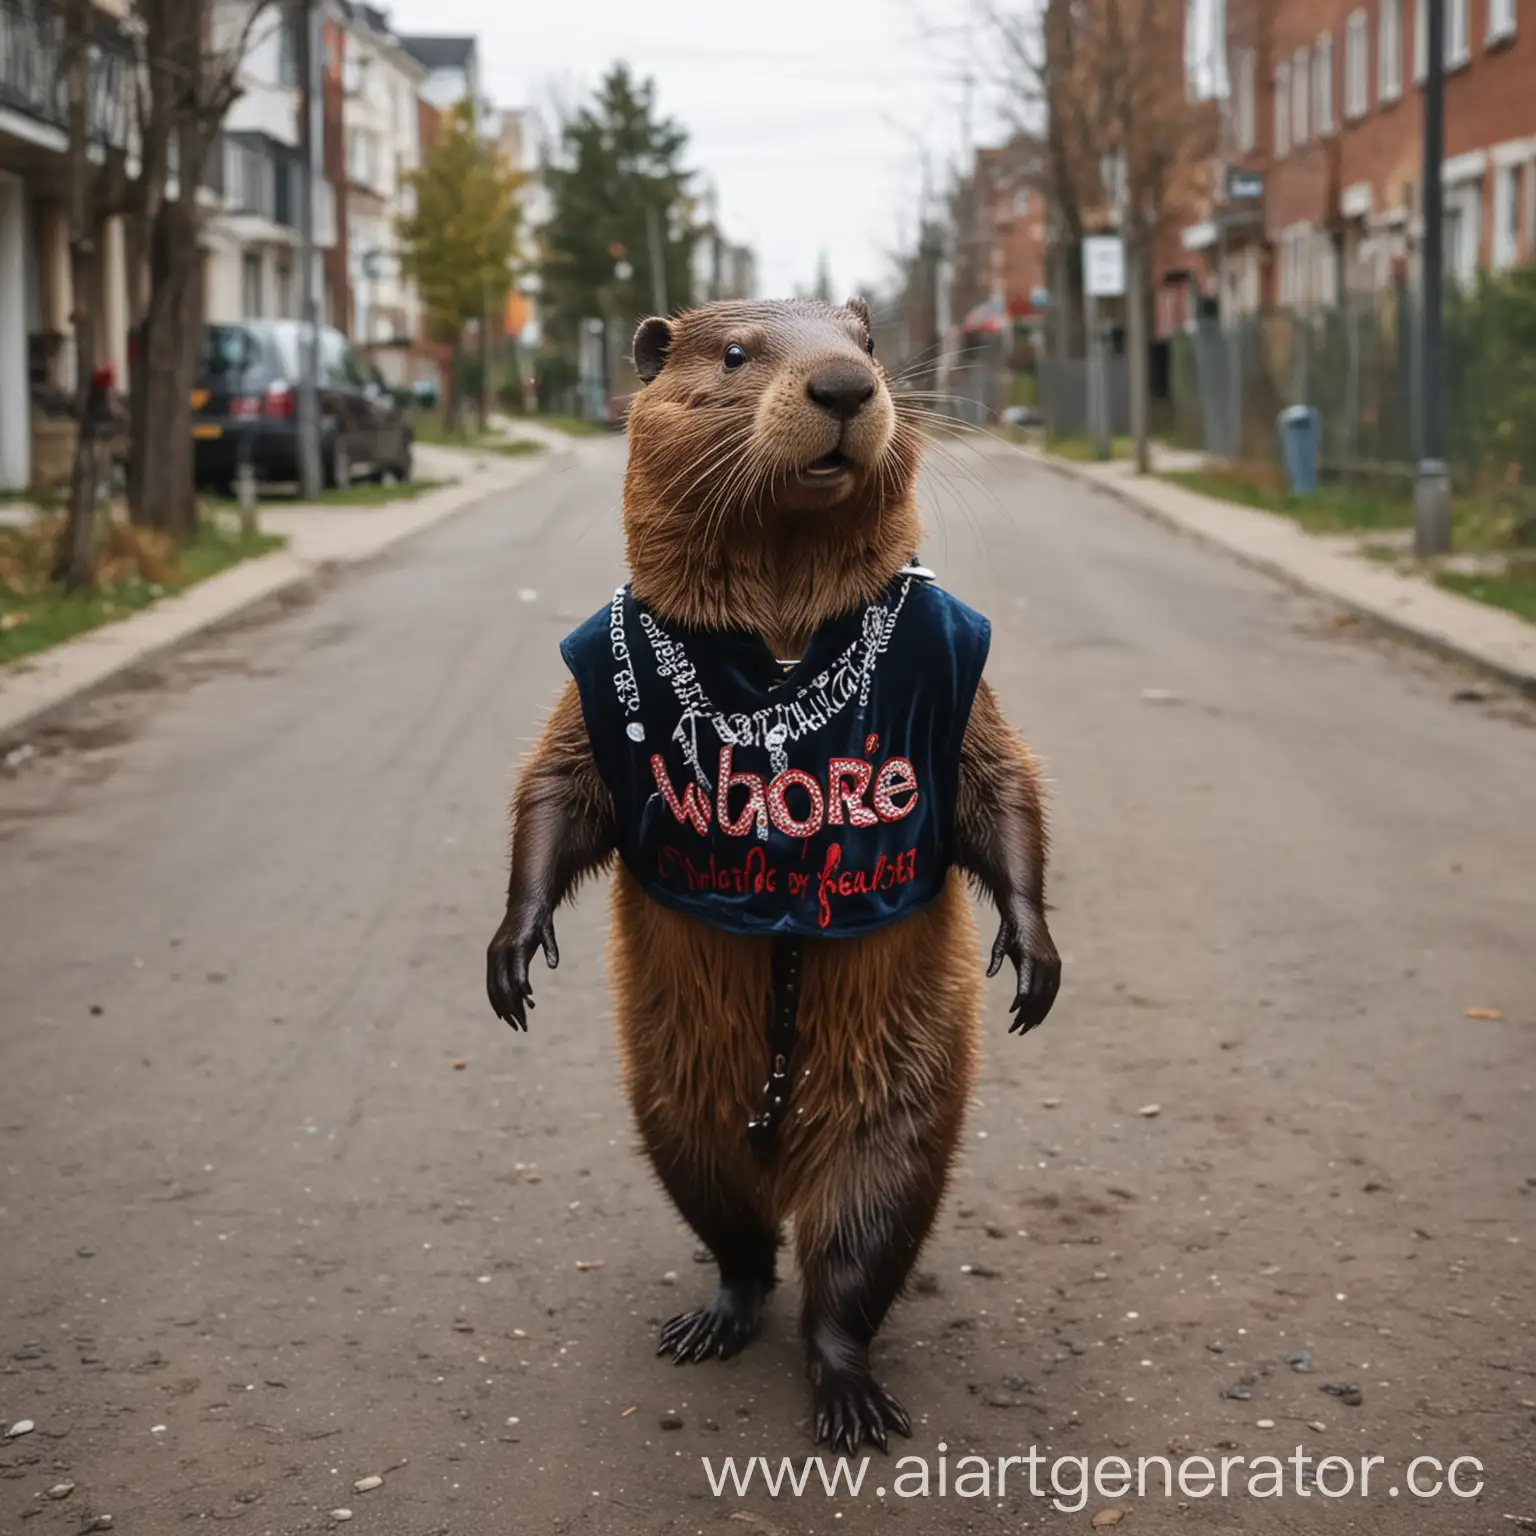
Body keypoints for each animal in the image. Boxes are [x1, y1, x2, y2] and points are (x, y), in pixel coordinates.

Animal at [485, 296, 1062, 1449]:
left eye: (870, 341)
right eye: (736, 351)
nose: (843, 384)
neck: (785, 645)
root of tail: (781, 1157)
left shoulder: (958, 668)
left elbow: (1001, 783)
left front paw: (1033, 965)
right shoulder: (596, 665)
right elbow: (557, 787)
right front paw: (512, 962)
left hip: (901, 1113)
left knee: (851, 1256)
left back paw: (852, 1400)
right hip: (674, 1108)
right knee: (739, 1239)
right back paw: (710, 1321)